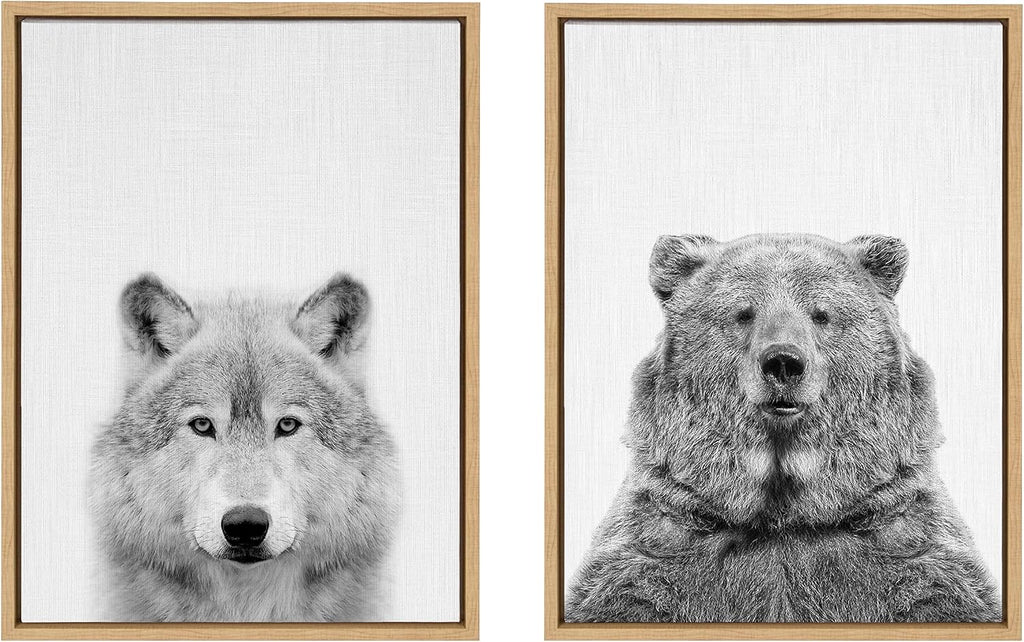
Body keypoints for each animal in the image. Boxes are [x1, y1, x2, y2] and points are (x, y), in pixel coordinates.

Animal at [565, 233, 1000, 623]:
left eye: (821, 314)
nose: (784, 362)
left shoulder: (904, 541)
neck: (784, 513)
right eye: (743, 312)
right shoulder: (659, 544)